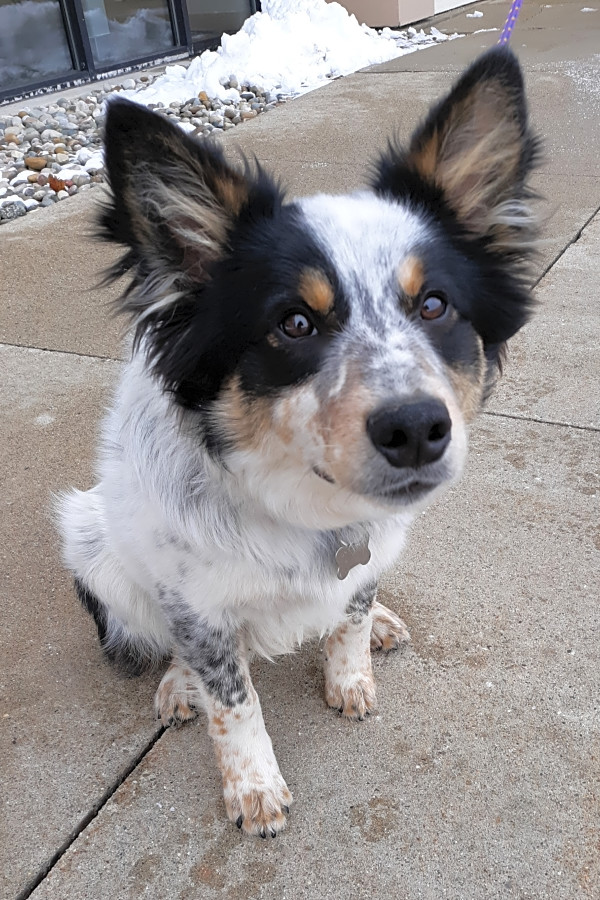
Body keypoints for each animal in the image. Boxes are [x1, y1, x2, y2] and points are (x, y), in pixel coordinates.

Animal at [58, 47, 540, 836]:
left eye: (434, 304)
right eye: (294, 323)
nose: (416, 429)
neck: (306, 508)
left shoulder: (369, 550)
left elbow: (349, 614)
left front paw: (352, 669)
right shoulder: (196, 604)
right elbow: (232, 697)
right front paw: (253, 786)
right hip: (92, 537)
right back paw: (177, 684)